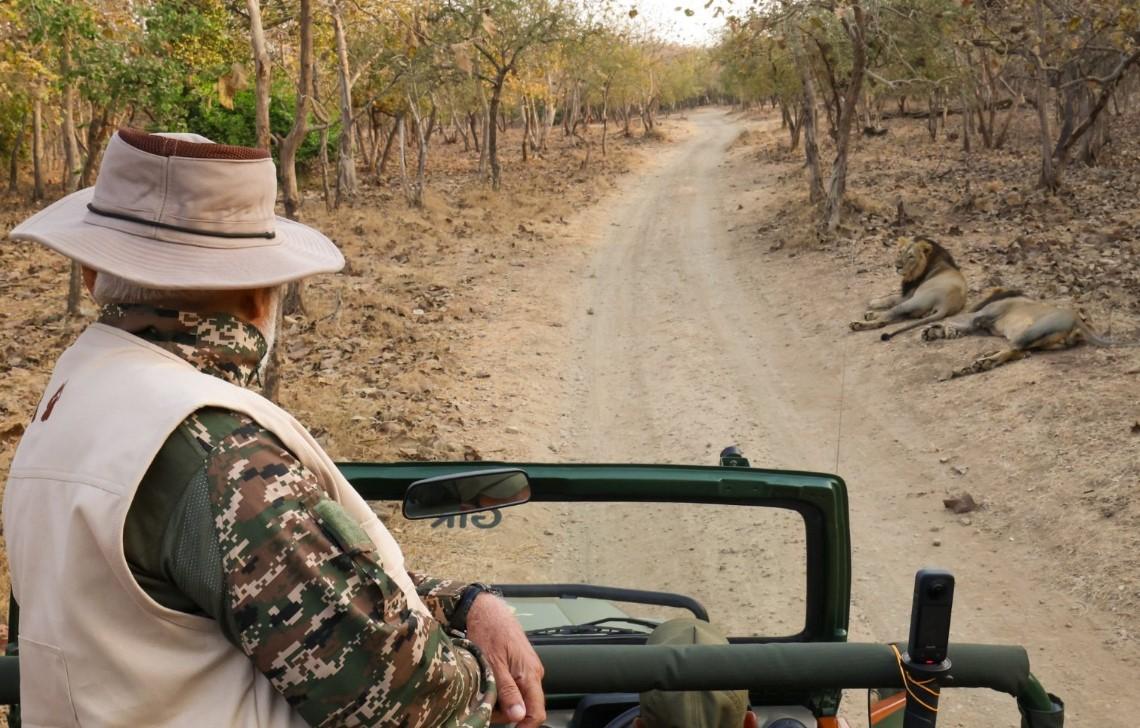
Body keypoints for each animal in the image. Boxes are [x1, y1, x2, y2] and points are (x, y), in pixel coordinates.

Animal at [921, 289, 1135, 382]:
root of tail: (1076, 321)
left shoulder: (980, 319)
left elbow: (955, 322)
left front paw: (934, 330)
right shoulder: (981, 325)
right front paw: (936, 332)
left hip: (1033, 330)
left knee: (1012, 349)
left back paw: (973, 366)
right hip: (1039, 341)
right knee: (1018, 351)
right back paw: (983, 360)